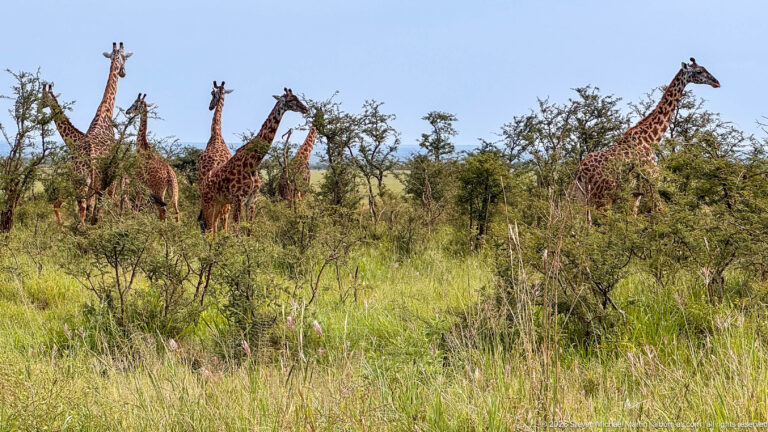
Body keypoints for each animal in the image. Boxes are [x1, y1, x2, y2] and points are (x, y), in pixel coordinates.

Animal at [84, 42, 132, 224]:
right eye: (125, 57)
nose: (123, 73)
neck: (105, 110)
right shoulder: (109, 177)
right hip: (97, 180)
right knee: (92, 207)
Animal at [125, 93, 180, 222]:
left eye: (135, 104)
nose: (127, 111)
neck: (143, 148)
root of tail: (170, 176)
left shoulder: (139, 182)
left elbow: (137, 205)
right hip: (174, 191)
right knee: (176, 210)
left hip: (158, 190)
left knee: (163, 210)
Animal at [200, 88, 308, 232]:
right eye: (290, 100)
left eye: (297, 97)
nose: (305, 108)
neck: (253, 163)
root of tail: (203, 183)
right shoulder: (238, 199)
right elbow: (236, 231)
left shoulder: (252, 200)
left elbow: (249, 231)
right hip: (208, 202)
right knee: (208, 228)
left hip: (219, 202)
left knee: (213, 226)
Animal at [570, 58, 720, 216]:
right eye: (699, 71)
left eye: (704, 68)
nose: (716, 82)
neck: (651, 139)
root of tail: (580, 172)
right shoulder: (651, 179)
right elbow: (662, 210)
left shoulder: (638, 189)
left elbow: (634, 214)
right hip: (603, 195)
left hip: (586, 196)